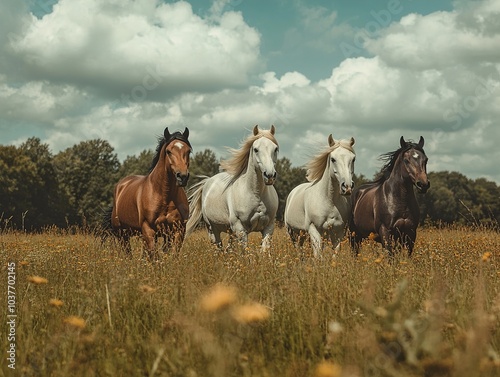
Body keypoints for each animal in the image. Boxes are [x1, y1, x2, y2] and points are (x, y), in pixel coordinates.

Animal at [110, 127, 191, 258]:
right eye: (168, 151)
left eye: (188, 151)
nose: (182, 177)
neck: (164, 196)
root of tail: (121, 185)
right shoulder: (148, 230)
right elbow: (154, 256)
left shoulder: (178, 231)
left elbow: (172, 255)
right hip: (122, 233)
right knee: (128, 253)